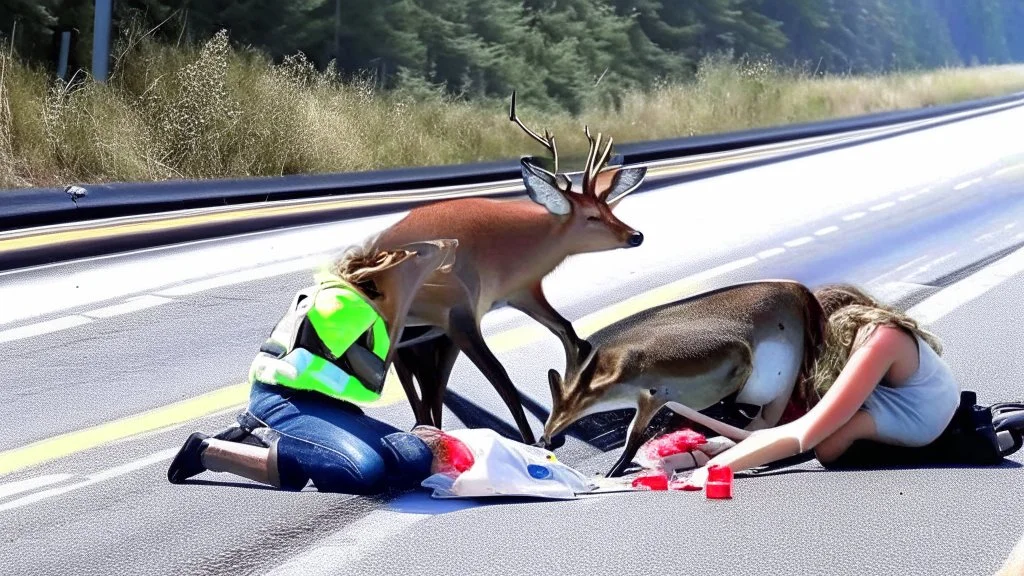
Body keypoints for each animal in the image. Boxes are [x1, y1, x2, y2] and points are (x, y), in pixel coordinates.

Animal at [374, 90, 647, 444]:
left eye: (609, 209)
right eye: (591, 217)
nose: (635, 235)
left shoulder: (520, 294)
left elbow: (572, 334)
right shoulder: (460, 317)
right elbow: (501, 376)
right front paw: (534, 440)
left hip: (429, 336)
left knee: (429, 384)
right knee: (414, 378)